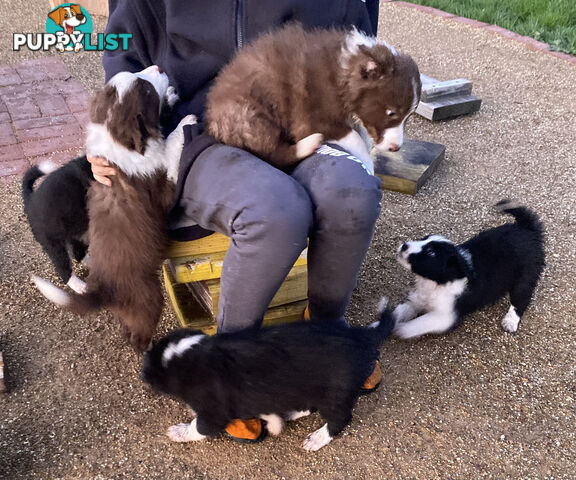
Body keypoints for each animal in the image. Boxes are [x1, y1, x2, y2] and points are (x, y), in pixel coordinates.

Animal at [21, 156, 93, 294]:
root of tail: (30, 200)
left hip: (80, 232)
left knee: (78, 254)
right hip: (54, 243)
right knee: (63, 269)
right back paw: (80, 286)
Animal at [34, 65, 196, 350]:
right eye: (146, 90)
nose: (158, 67)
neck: (116, 141)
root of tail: (103, 291)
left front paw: (172, 95)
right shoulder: (162, 188)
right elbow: (171, 149)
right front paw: (185, 122)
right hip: (149, 297)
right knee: (138, 336)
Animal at [142, 306, 396, 452]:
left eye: (156, 369)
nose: (143, 370)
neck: (196, 354)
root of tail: (360, 335)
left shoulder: (214, 412)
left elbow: (198, 428)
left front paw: (178, 432)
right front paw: (274, 423)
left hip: (335, 394)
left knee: (341, 419)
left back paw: (317, 439)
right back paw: (291, 413)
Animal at [205, 23, 420, 174]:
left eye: (408, 117)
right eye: (391, 113)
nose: (396, 148)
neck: (344, 73)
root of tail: (212, 118)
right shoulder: (312, 118)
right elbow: (354, 137)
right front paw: (368, 164)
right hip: (250, 115)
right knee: (273, 153)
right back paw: (309, 143)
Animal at [392, 201, 544, 340]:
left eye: (431, 252)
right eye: (423, 238)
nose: (404, 246)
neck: (436, 282)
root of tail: (527, 229)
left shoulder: (445, 316)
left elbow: (420, 323)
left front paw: (401, 329)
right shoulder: (418, 299)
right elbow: (402, 310)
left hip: (525, 277)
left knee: (521, 299)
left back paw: (511, 321)